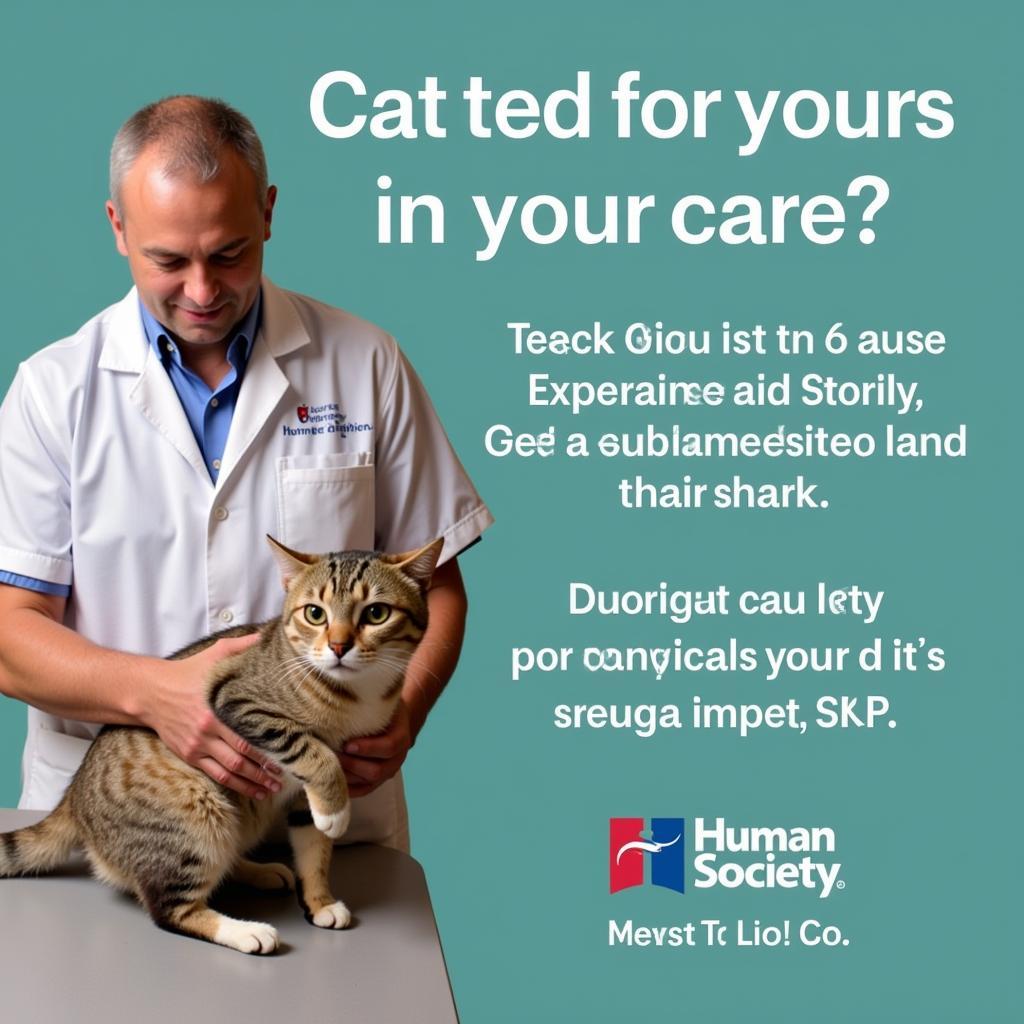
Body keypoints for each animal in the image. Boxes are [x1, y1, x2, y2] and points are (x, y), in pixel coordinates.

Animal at [0, 536, 436, 950]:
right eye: (315, 613)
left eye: (376, 613)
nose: (339, 646)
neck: (355, 696)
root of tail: (73, 799)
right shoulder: (238, 700)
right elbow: (315, 752)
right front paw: (335, 809)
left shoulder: (304, 797)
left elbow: (314, 848)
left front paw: (320, 901)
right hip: (194, 815)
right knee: (171, 910)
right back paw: (246, 932)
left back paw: (259, 871)